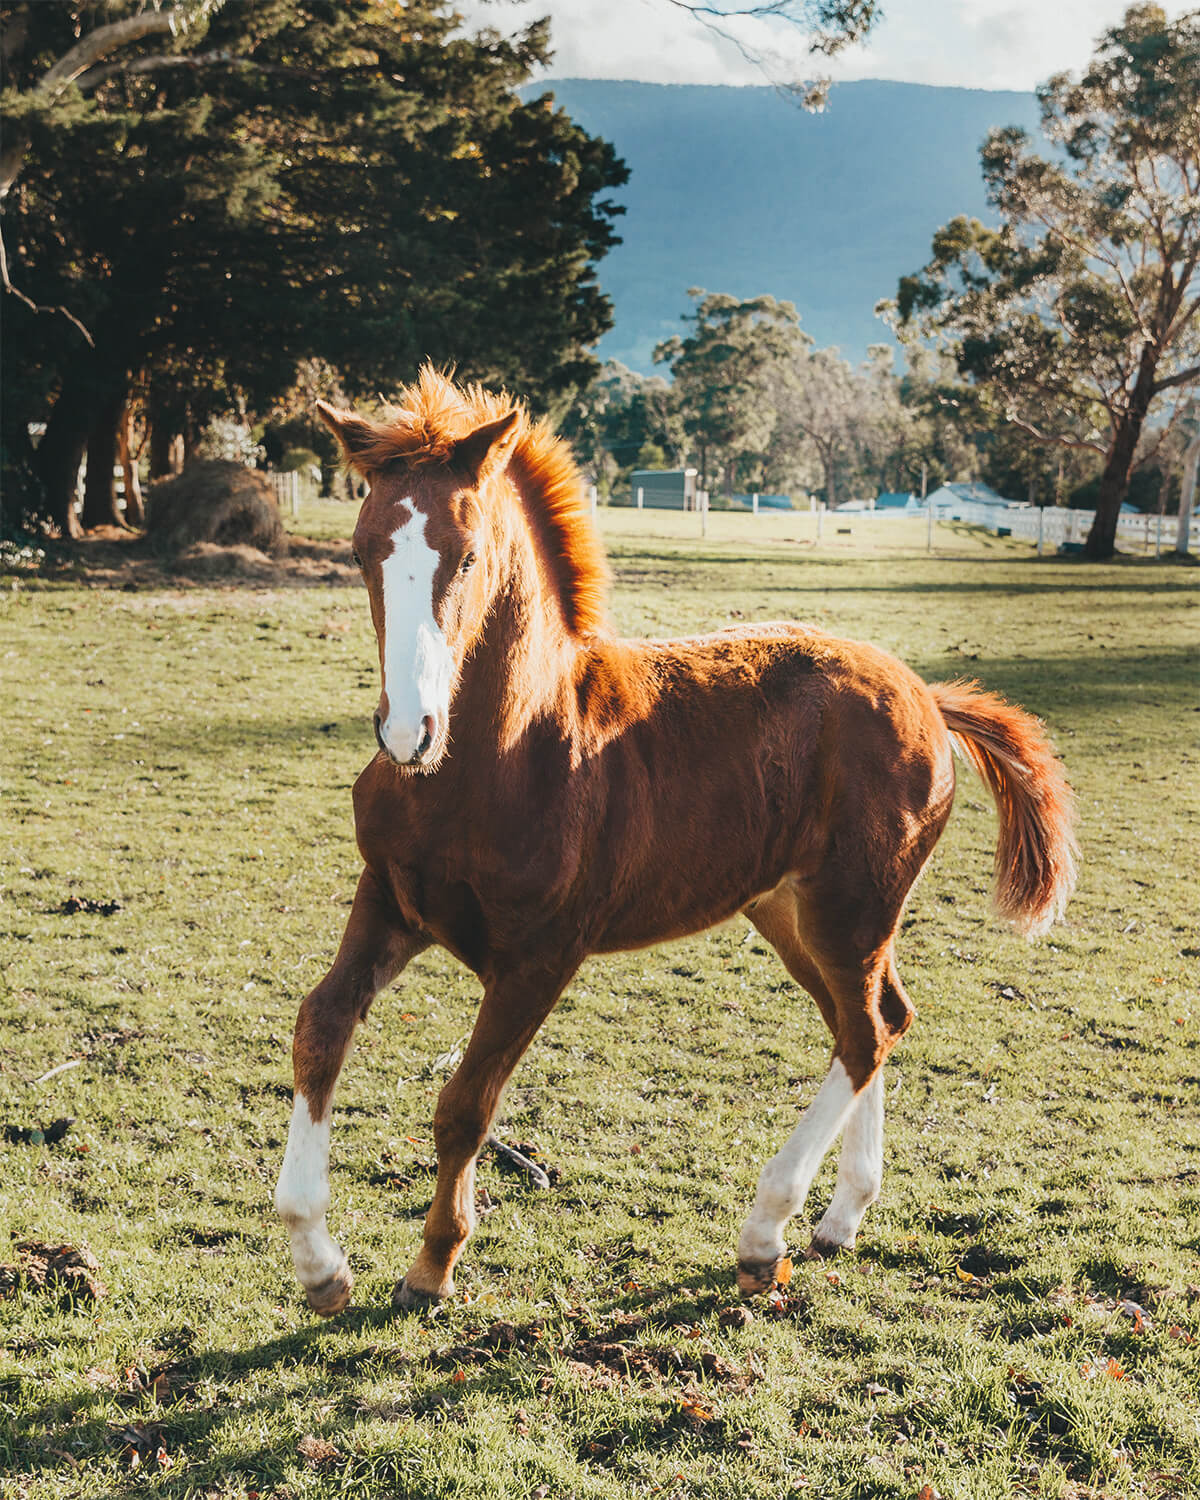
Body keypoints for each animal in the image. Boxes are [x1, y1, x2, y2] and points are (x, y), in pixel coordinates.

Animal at [273, 368, 1077, 1316]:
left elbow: (465, 1104)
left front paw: (433, 1265)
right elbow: (320, 1028)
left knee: (868, 1030)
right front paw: (320, 1262)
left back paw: (766, 1235)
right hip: (789, 911)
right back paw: (840, 1218)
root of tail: (926, 693)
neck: (503, 755)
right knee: (874, 1017)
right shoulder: (393, 902)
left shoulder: (542, 956)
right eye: (364, 552)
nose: (407, 732)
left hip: (853, 906)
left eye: (466, 555)